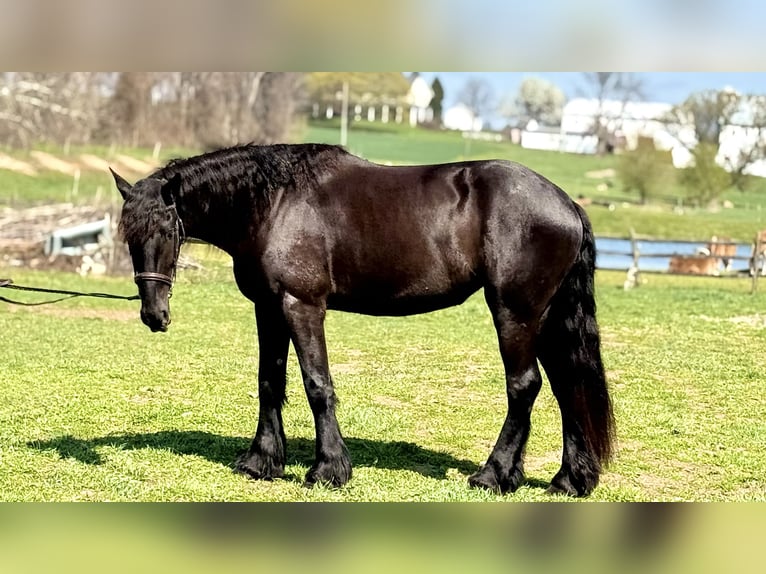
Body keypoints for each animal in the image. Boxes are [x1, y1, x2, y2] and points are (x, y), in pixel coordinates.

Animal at [112, 143, 615, 497]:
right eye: (128, 236)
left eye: (166, 230)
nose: (153, 314)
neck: (274, 204)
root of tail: (567, 204)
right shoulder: (267, 308)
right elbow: (269, 382)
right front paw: (261, 462)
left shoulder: (301, 305)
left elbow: (317, 384)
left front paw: (328, 469)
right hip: (545, 317)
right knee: (568, 387)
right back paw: (568, 480)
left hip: (514, 312)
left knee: (524, 387)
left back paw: (493, 475)